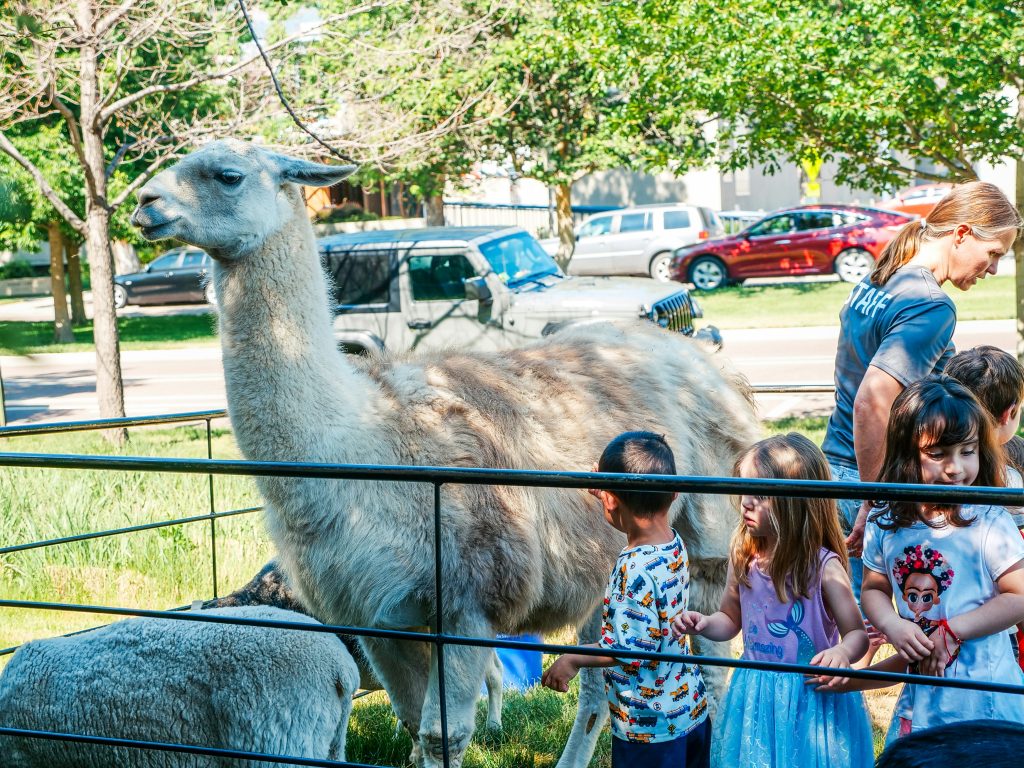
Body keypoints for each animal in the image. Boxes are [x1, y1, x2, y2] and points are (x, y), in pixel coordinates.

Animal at [130, 140, 761, 768]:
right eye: (173, 160)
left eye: (227, 175)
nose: (144, 203)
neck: (364, 443)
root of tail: (703, 357)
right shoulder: (380, 615)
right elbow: (414, 724)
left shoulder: (468, 600)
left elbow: (445, 734)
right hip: (604, 567)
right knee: (598, 687)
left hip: (703, 540)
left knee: (710, 666)